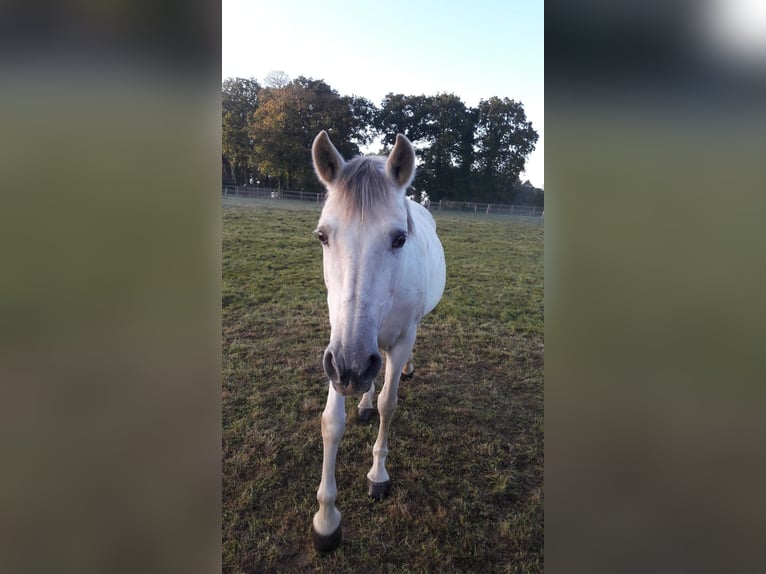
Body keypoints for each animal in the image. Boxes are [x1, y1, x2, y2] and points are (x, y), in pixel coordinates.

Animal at [308, 130, 448, 552]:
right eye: (322, 236)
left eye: (400, 238)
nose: (352, 368)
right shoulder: (338, 347)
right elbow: (332, 422)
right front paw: (326, 519)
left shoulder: (397, 340)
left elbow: (390, 403)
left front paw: (377, 476)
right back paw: (364, 401)